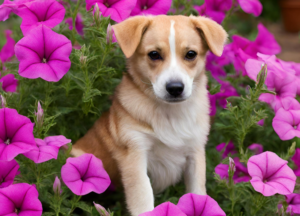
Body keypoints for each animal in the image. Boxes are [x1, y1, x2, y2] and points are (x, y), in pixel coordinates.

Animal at [72, 14, 227, 216]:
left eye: (191, 54)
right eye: (154, 54)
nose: (175, 88)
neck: (169, 113)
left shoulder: (195, 153)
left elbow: (198, 191)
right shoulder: (135, 153)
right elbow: (143, 197)